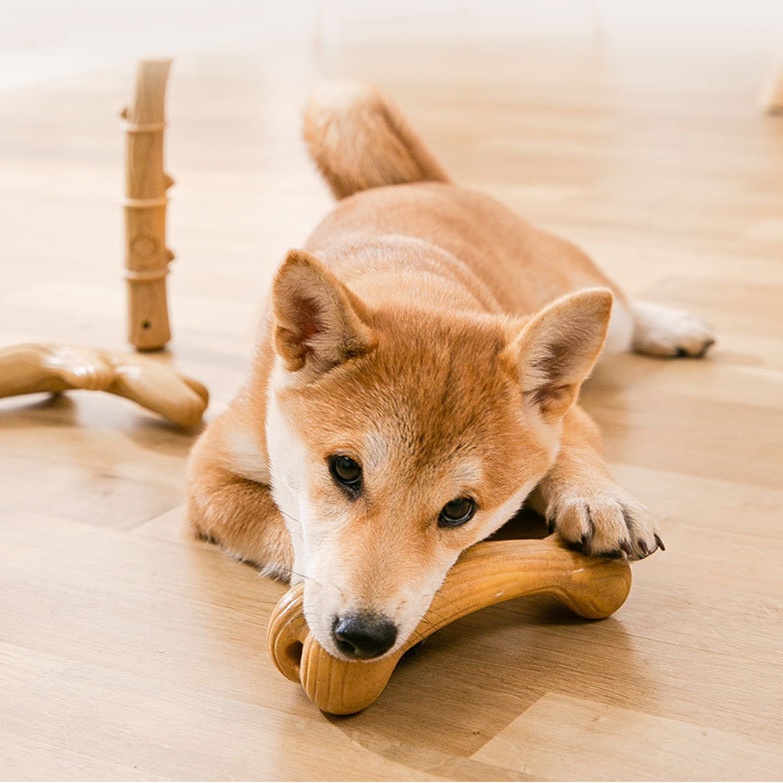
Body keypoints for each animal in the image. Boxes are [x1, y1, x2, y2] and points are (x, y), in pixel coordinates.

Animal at [185, 84, 716, 660]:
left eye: (459, 510)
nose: (363, 636)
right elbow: (282, 529)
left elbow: (573, 450)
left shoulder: (565, 416)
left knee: (624, 305)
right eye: (345, 470)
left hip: (587, 303)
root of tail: (417, 184)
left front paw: (601, 501)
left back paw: (673, 327)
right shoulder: (208, 477)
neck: (410, 280)